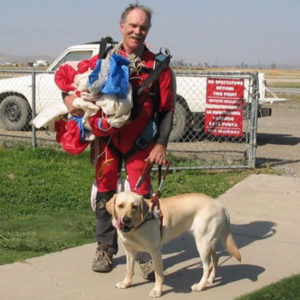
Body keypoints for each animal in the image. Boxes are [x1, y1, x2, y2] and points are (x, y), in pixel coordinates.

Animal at [106, 192, 241, 298]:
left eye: (134, 207)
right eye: (120, 206)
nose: (126, 220)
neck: (137, 226)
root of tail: (221, 206)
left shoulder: (155, 251)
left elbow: (158, 274)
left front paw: (157, 291)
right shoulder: (130, 251)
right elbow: (129, 270)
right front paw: (126, 284)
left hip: (202, 243)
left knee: (207, 266)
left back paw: (200, 286)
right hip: (208, 242)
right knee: (215, 258)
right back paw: (211, 279)